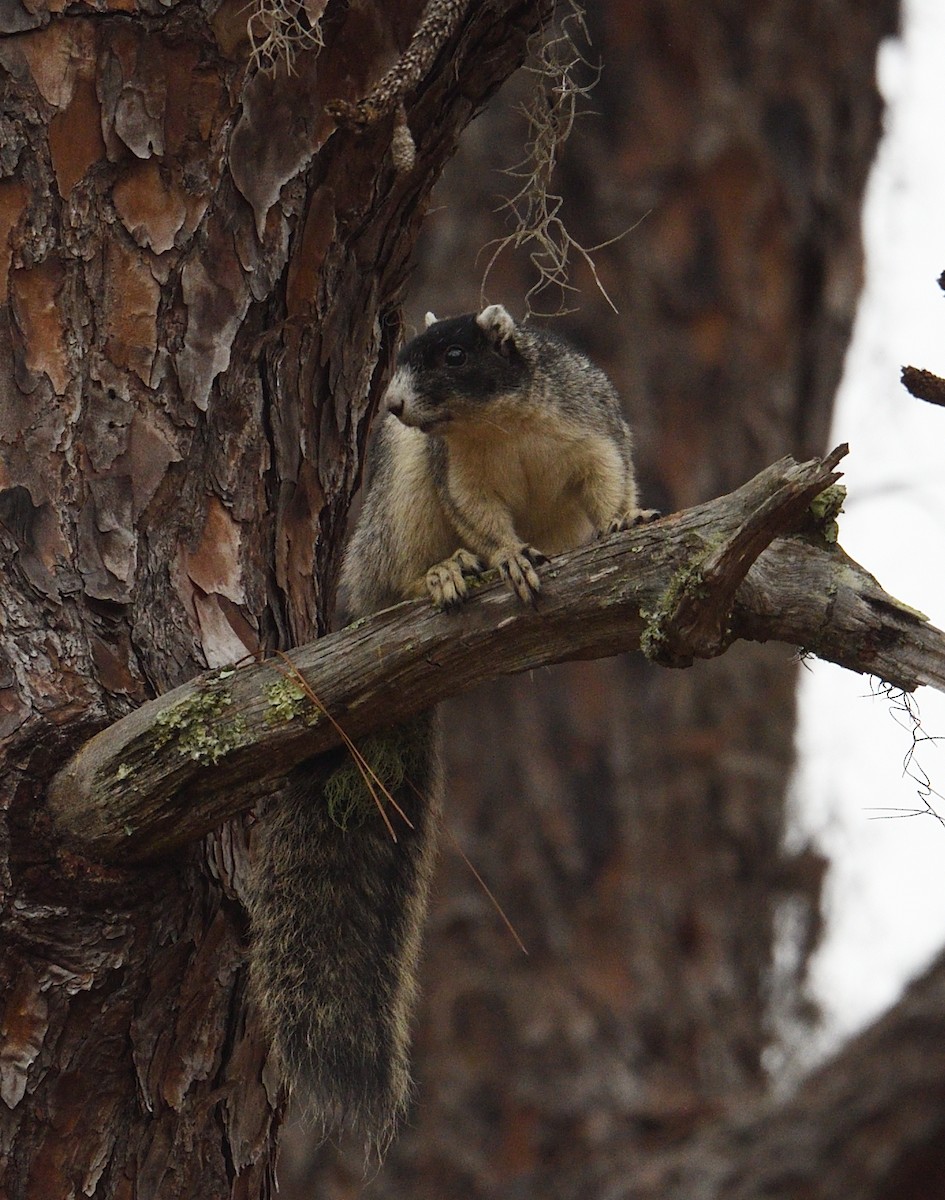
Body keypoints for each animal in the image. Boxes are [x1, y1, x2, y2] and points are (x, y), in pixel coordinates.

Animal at [248, 303, 656, 1147]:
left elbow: (608, 482)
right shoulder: (455, 481)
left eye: (457, 355)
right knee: (401, 576)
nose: (397, 407)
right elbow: (485, 526)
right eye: (401, 357)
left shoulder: (592, 432)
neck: (497, 425)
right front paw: (503, 562)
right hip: (396, 511)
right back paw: (437, 578)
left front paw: (627, 517)